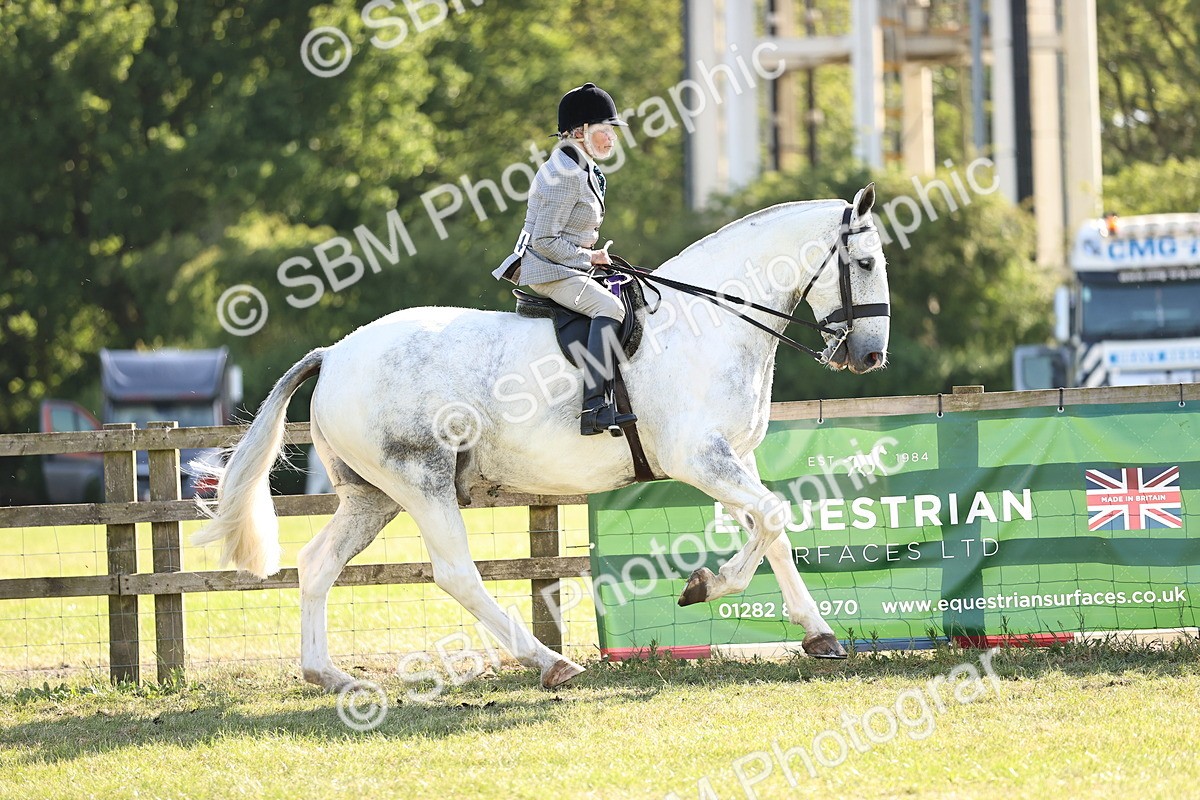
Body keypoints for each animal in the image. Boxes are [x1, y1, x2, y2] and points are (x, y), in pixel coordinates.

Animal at [194, 184, 891, 692]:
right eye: (864, 263)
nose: (870, 356)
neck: (708, 322)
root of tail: (335, 354)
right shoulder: (699, 459)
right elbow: (773, 517)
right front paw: (706, 588)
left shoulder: (732, 459)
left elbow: (772, 531)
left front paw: (817, 634)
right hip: (422, 483)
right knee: (456, 573)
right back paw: (550, 663)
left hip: (373, 496)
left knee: (317, 565)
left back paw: (329, 676)